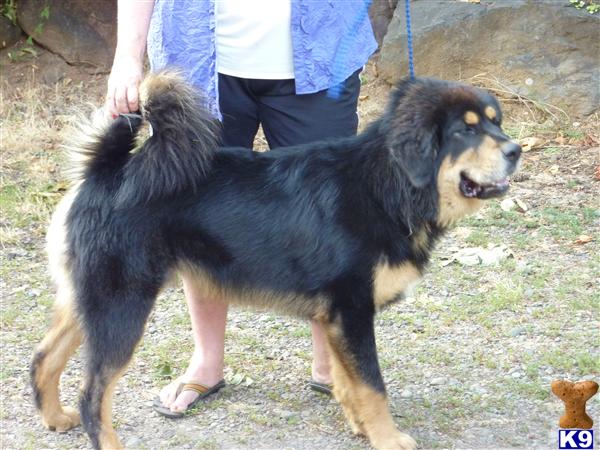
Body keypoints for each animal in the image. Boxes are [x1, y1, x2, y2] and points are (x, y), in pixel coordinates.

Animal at [31, 71, 520, 450]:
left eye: (495, 123)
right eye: (466, 131)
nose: (515, 150)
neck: (386, 185)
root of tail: (106, 171)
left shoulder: (337, 318)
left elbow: (349, 382)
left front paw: (360, 426)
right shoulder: (352, 310)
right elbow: (373, 385)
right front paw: (387, 437)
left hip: (88, 300)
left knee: (42, 359)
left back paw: (54, 418)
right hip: (121, 307)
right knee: (92, 394)